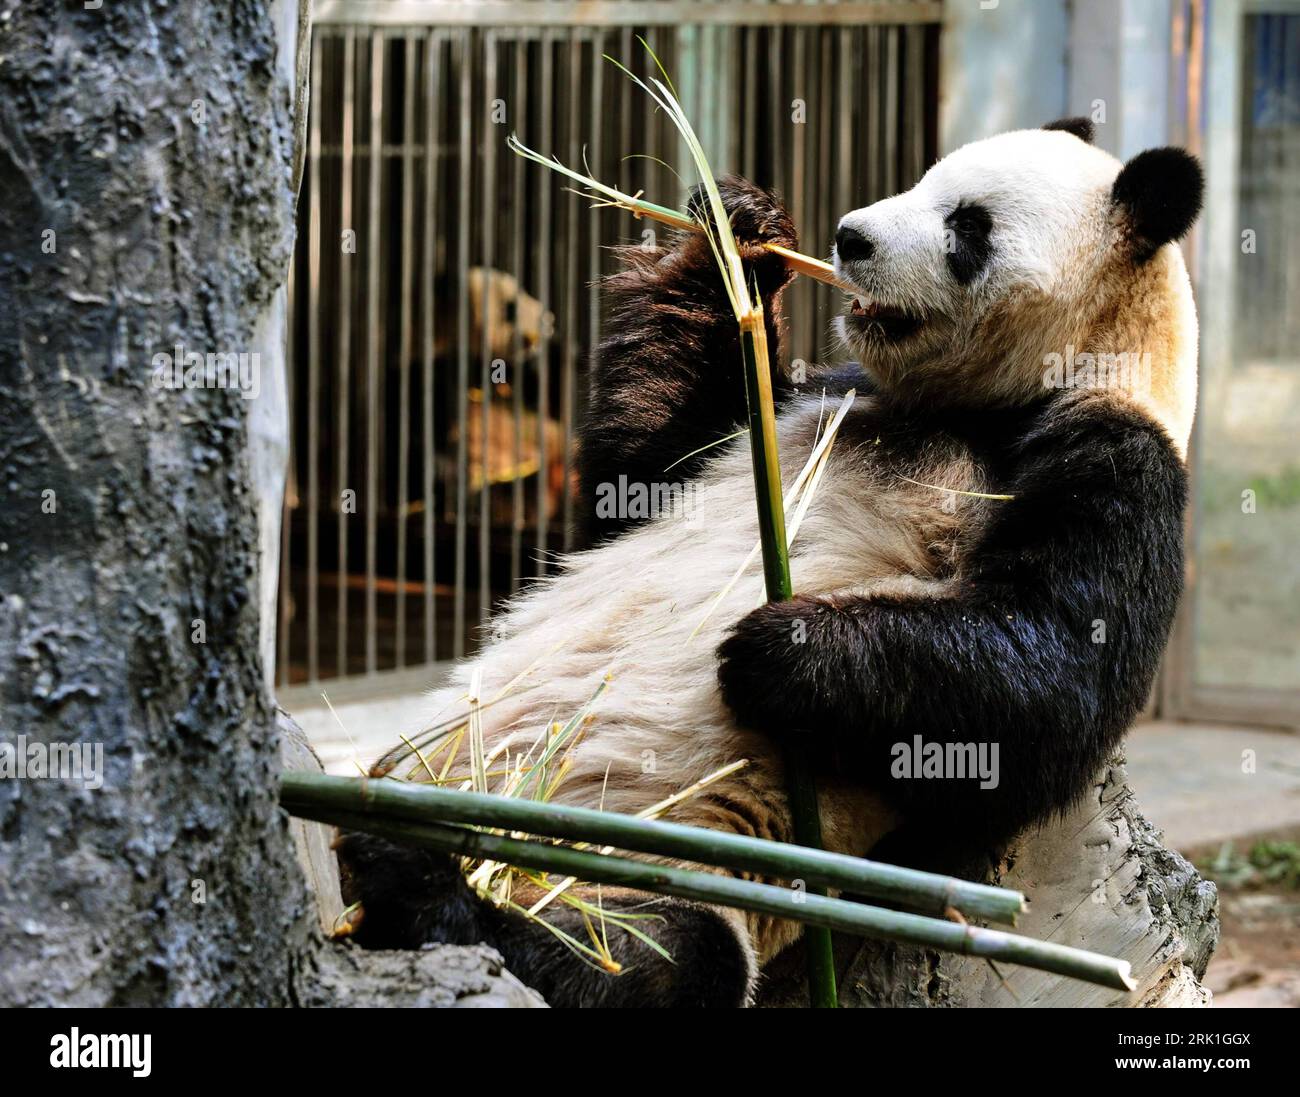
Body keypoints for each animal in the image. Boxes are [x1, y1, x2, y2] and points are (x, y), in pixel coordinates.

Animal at [340, 117, 1201, 1003]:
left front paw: (776, 650)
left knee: (645, 955)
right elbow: (644, 472)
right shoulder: (818, 399)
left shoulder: (1116, 454)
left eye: (968, 226)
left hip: (672, 856)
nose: (850, 237)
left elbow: (1047, 678)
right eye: (923, 180)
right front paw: (740, 232)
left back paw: (421, 883)